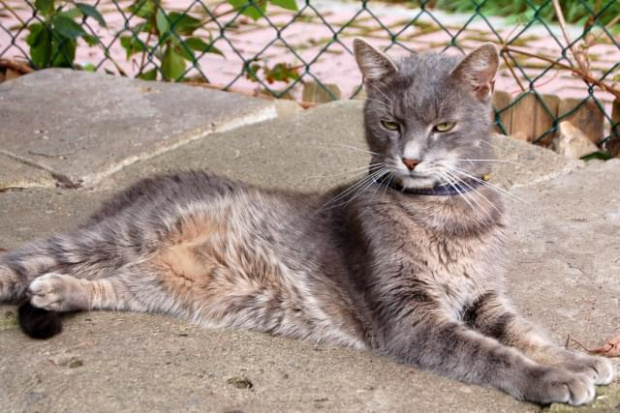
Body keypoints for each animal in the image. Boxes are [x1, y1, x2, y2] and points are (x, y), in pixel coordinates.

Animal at [0, 38, 612, 406]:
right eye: (390, 123)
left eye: (442, 126)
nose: (411, 159)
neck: (445, 212)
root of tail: (144, 183)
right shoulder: (412, 317)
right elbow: (492, 353)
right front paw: (553, 379)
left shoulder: (485, 298)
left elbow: (527, 332)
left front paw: (581, 359)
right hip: (120, 236)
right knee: (23, 261)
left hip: (156, 284)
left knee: (104, 285)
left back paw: (58, 291)